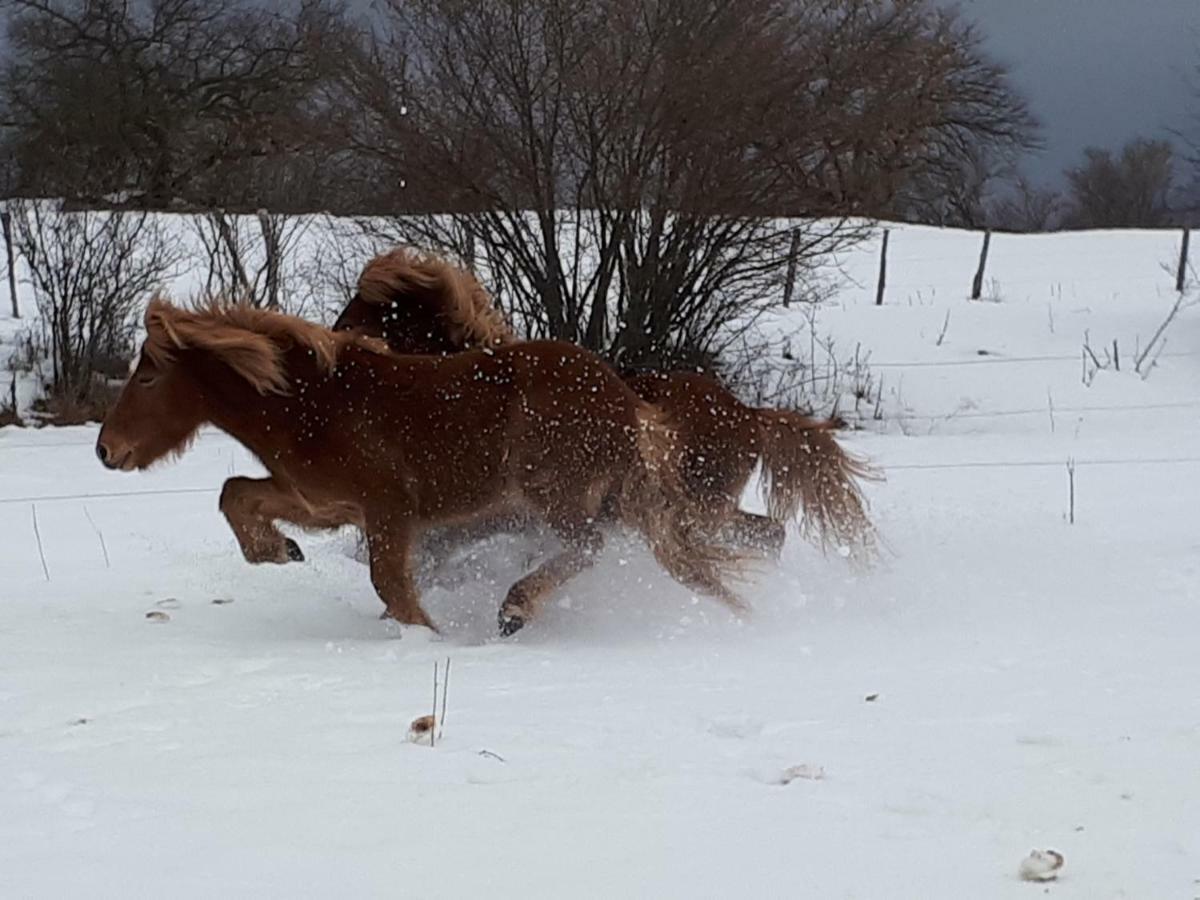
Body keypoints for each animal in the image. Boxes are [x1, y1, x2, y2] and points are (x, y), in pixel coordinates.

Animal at [98, 301, 744, 633]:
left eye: (149, 376)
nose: (106, 449)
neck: (309, 404)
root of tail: (629, 400)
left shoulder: (389, 511)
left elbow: (391, 582)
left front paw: (424, 635)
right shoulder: (323, 504)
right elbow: (234, 494)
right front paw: (280, 550)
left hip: (554, 497)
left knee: (588, 546)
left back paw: (513, 609)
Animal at [333, 247, 878, 556]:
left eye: (370, 310)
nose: (331, 342)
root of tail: (748, 414)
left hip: (700, 508)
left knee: (765, 534)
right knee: (768, 533)